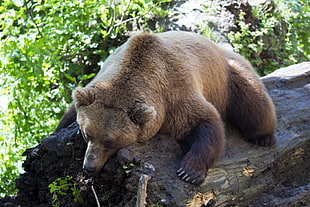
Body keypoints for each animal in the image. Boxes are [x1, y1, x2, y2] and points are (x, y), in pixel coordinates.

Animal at [55, 31, 276, 185]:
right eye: (87, 134)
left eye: (110, 141)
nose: (89, 167)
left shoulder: (174, 95)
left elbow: (205, 122)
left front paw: (189, 172)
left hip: (229, 76)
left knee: (254, 104)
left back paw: (264, 137)